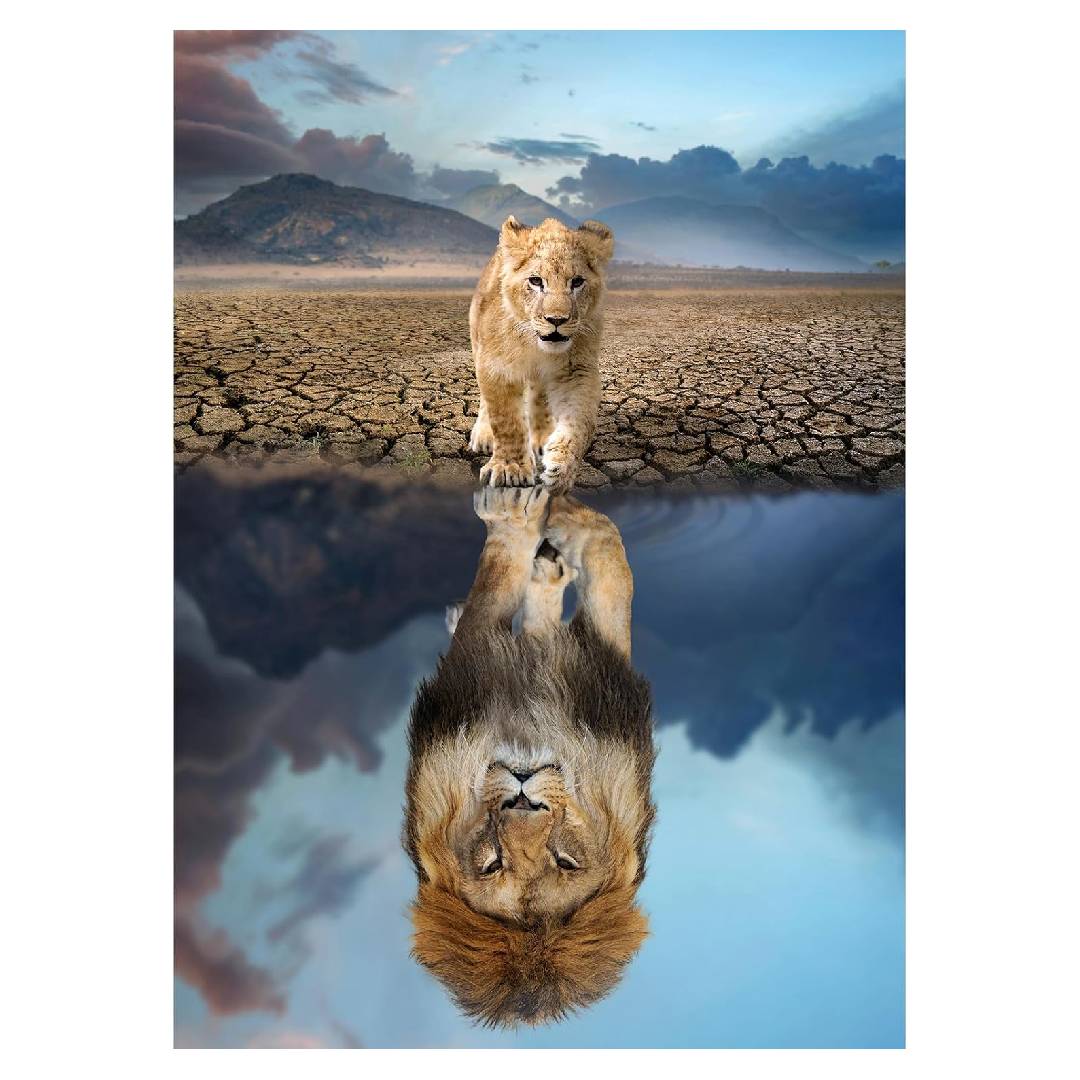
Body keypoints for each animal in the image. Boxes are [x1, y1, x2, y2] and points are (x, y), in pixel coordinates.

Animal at [404, 486, 655, 1026]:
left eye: (565, 861)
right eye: (492, 864)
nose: (522, 796)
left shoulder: (600, 676)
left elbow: (606, 564)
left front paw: (536, 518)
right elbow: (605, 562)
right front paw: (537, 518)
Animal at [468, 215, 615, 494]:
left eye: (577, 281)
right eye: (536, 281)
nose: (556, 320)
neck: (534, 345)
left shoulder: (576, 370)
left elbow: (580, 422)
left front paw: (561, 468)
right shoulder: (496, 367)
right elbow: (506, 420)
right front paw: (510, 469)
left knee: (540, 396)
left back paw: (543, 438)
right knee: (486, 401)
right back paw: (483, 435)